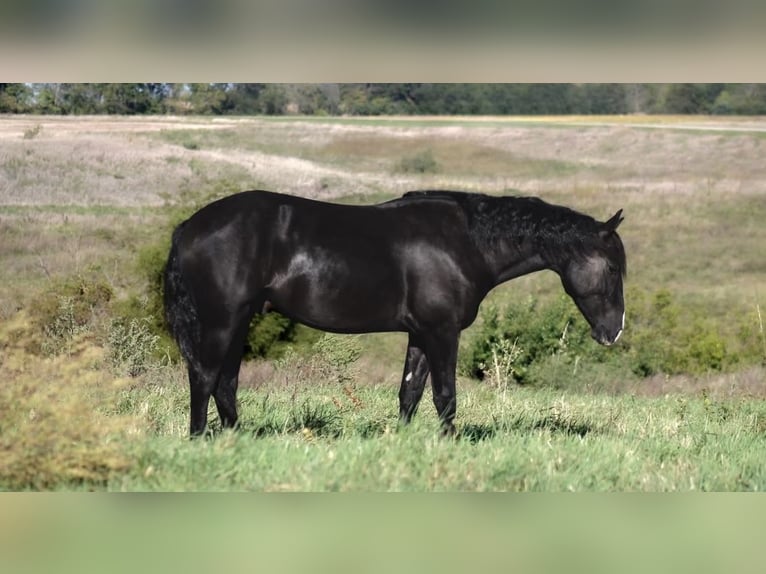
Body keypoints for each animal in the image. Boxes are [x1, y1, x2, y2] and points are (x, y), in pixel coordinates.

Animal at [163, 189, 626, 437]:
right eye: (612, 267)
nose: (614, 332)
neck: (464, 242)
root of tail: (188, 227)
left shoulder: (421, 333)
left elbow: (410, 393)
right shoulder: (442, 332)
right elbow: (445, 395)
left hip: (239, 321)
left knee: (225, 382)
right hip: (222, 322)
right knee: (204, 377)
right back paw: (199, 438)